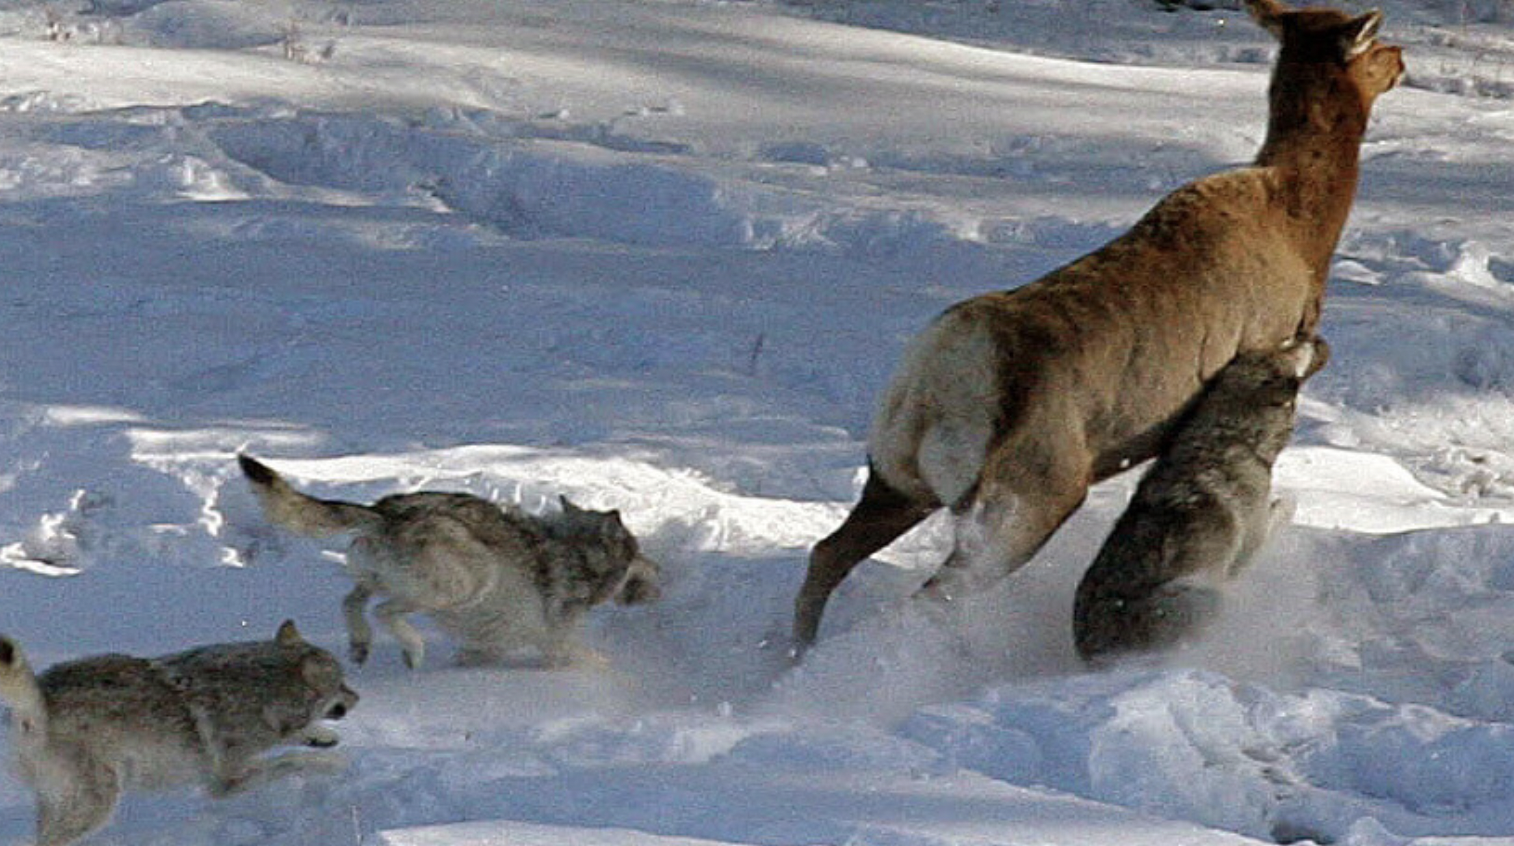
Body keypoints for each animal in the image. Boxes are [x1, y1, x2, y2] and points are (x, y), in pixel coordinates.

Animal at [0, 620, 357, 846]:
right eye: (341, 684)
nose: (357, 697)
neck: (259, 691)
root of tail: (41, 700)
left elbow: (297, 739)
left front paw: (323, 738)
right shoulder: (225, 784)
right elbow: (293, 759)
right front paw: (335, 763)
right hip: (96, 806)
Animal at [238, 454, 662, 670]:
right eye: (638, 551)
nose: (661, 572)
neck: (578, 555)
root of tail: (386, 512)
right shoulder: (558, 643)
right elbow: (587, 658)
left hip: (378, 576)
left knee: (352, 601)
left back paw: (360, 646)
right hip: (469, 581)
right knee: (384, 611)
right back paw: (412, 651)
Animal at [1072, 336, 1328, 664]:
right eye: (1287, 353)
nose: (1312, 339)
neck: (1234, 436)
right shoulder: (1248, 546)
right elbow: (1285, 505)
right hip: (1203, 595)